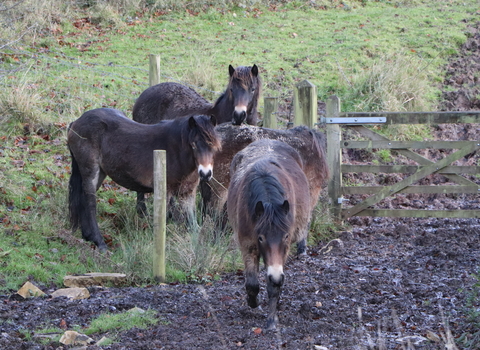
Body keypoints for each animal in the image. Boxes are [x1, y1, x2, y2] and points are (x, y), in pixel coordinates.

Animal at [67, 108, 221, 250]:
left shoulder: (187, 194)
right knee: (90, 203)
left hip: (100, 173)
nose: (205, 174)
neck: (175, 152)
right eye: (193, 144)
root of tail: (76, 122)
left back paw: (88, 236)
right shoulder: (165, 193)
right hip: (91, 172)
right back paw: (100, 243)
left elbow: (192, 223)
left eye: (214, 146)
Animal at [228, 138, 314, 330]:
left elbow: (273, 285)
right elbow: (252, 284)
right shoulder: (248, 245)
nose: (275, 276)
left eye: (286, 236)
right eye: (261, 237)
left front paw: (272, 320)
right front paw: (253, 302)